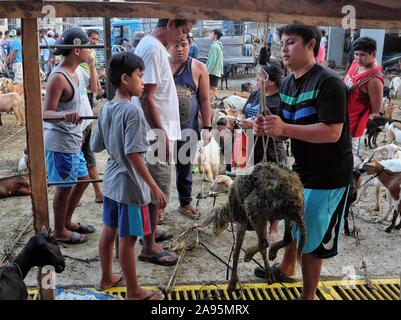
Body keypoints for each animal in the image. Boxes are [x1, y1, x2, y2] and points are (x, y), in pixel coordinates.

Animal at [200, 162, 304, 292]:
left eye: (216, 220)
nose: (215, 232)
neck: (229, 210)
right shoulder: (263, 221)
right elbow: (262, 251)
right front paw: (269, 275)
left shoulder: (243, 222)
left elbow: (236, 251)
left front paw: (232, 282)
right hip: (283, 214)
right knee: (286, 239)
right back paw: (272, 252)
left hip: (252, 206)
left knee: (265, 242)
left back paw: (249, 254)